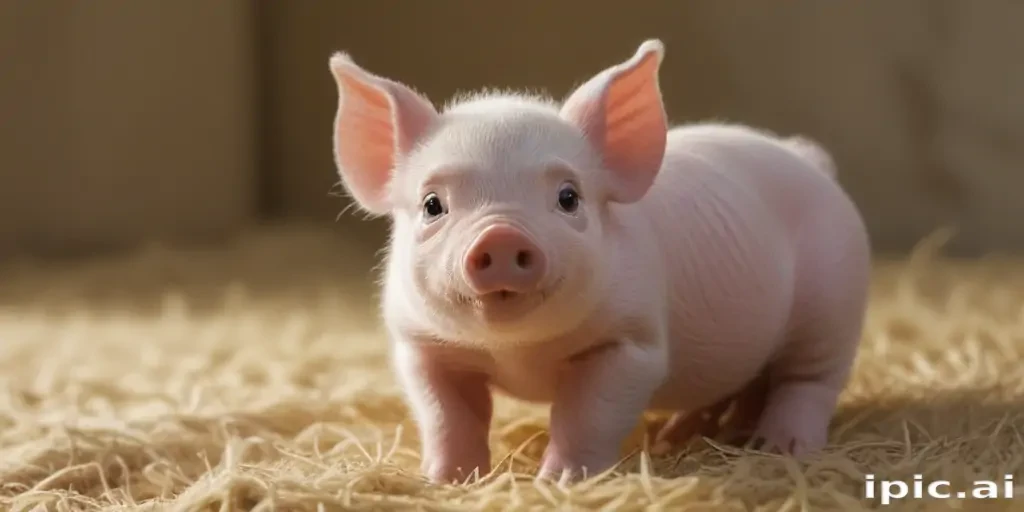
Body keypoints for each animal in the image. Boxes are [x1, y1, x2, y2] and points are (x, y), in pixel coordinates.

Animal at [327, 39, 871, 484]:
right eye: (432, 205)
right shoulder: (422, 346)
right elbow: (447, 418)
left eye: (568, 198)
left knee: (808, 381)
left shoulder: (630, 343)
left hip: (833, 300)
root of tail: (810, 161)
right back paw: (686, 434)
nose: (500, 235)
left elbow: (587, 414)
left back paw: (778, 447)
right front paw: (448, 482)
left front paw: (561, 481)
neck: (517, 353)